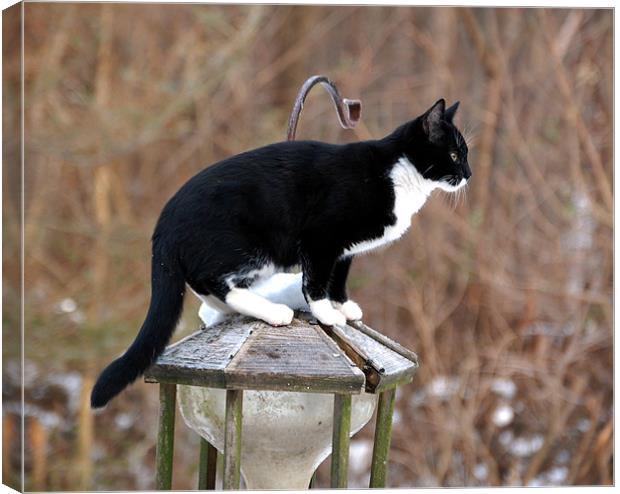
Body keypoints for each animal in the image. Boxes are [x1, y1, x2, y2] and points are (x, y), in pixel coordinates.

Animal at [91, 98, 470, 408]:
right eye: (453, 155)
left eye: (465, 155)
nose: (468, 174)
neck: (399, 174)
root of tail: (164, 224)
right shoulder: (322, 237)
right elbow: (315, 281)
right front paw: (326, 313)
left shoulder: (344, 250)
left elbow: (338, 277)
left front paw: (343, 307)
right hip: (247, 245)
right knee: (213, 280)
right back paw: (272, 311)